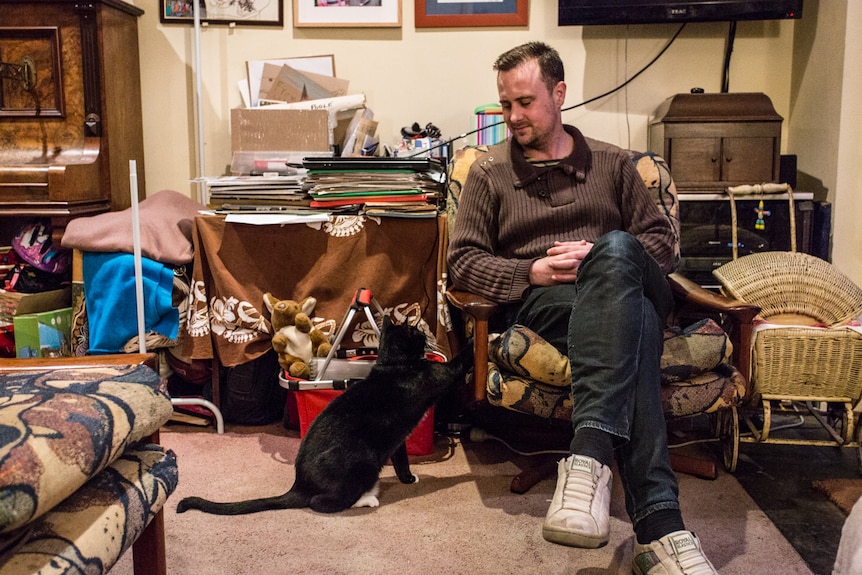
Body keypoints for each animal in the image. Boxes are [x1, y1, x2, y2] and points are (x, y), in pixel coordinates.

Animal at [175, 318, 472, 516]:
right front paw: (474, 339)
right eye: (418, 332)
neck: (394, 363)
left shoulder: (397, 440)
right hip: (362, 458)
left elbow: (401, 459)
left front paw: (408, 478)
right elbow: (460, 362)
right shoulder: (441, 375)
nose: (427, 333)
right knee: (319, 503)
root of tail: (299, 485)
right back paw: (366, 499)